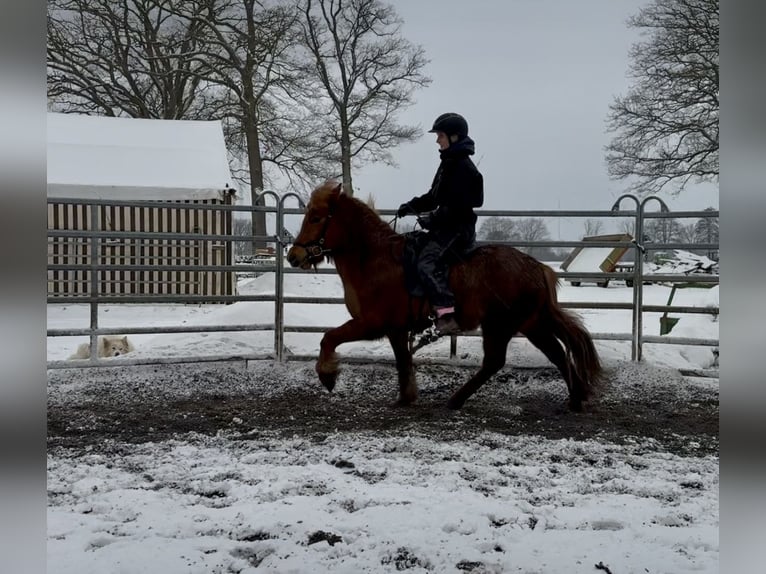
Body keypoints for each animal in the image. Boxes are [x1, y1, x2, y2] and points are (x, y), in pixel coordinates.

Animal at [286, 181, 602, 411]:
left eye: (316, 217)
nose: (293, 256)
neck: (374, 260)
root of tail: (536, 267)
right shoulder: (396, 329)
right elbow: (403, 361)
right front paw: (405, 397)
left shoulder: (372, 323)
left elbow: (329, 337)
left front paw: (327, 375)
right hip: (531, 323)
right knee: (557, 353)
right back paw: (575, 399)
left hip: (500, 325)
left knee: (496, 362)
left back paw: (456, 399)